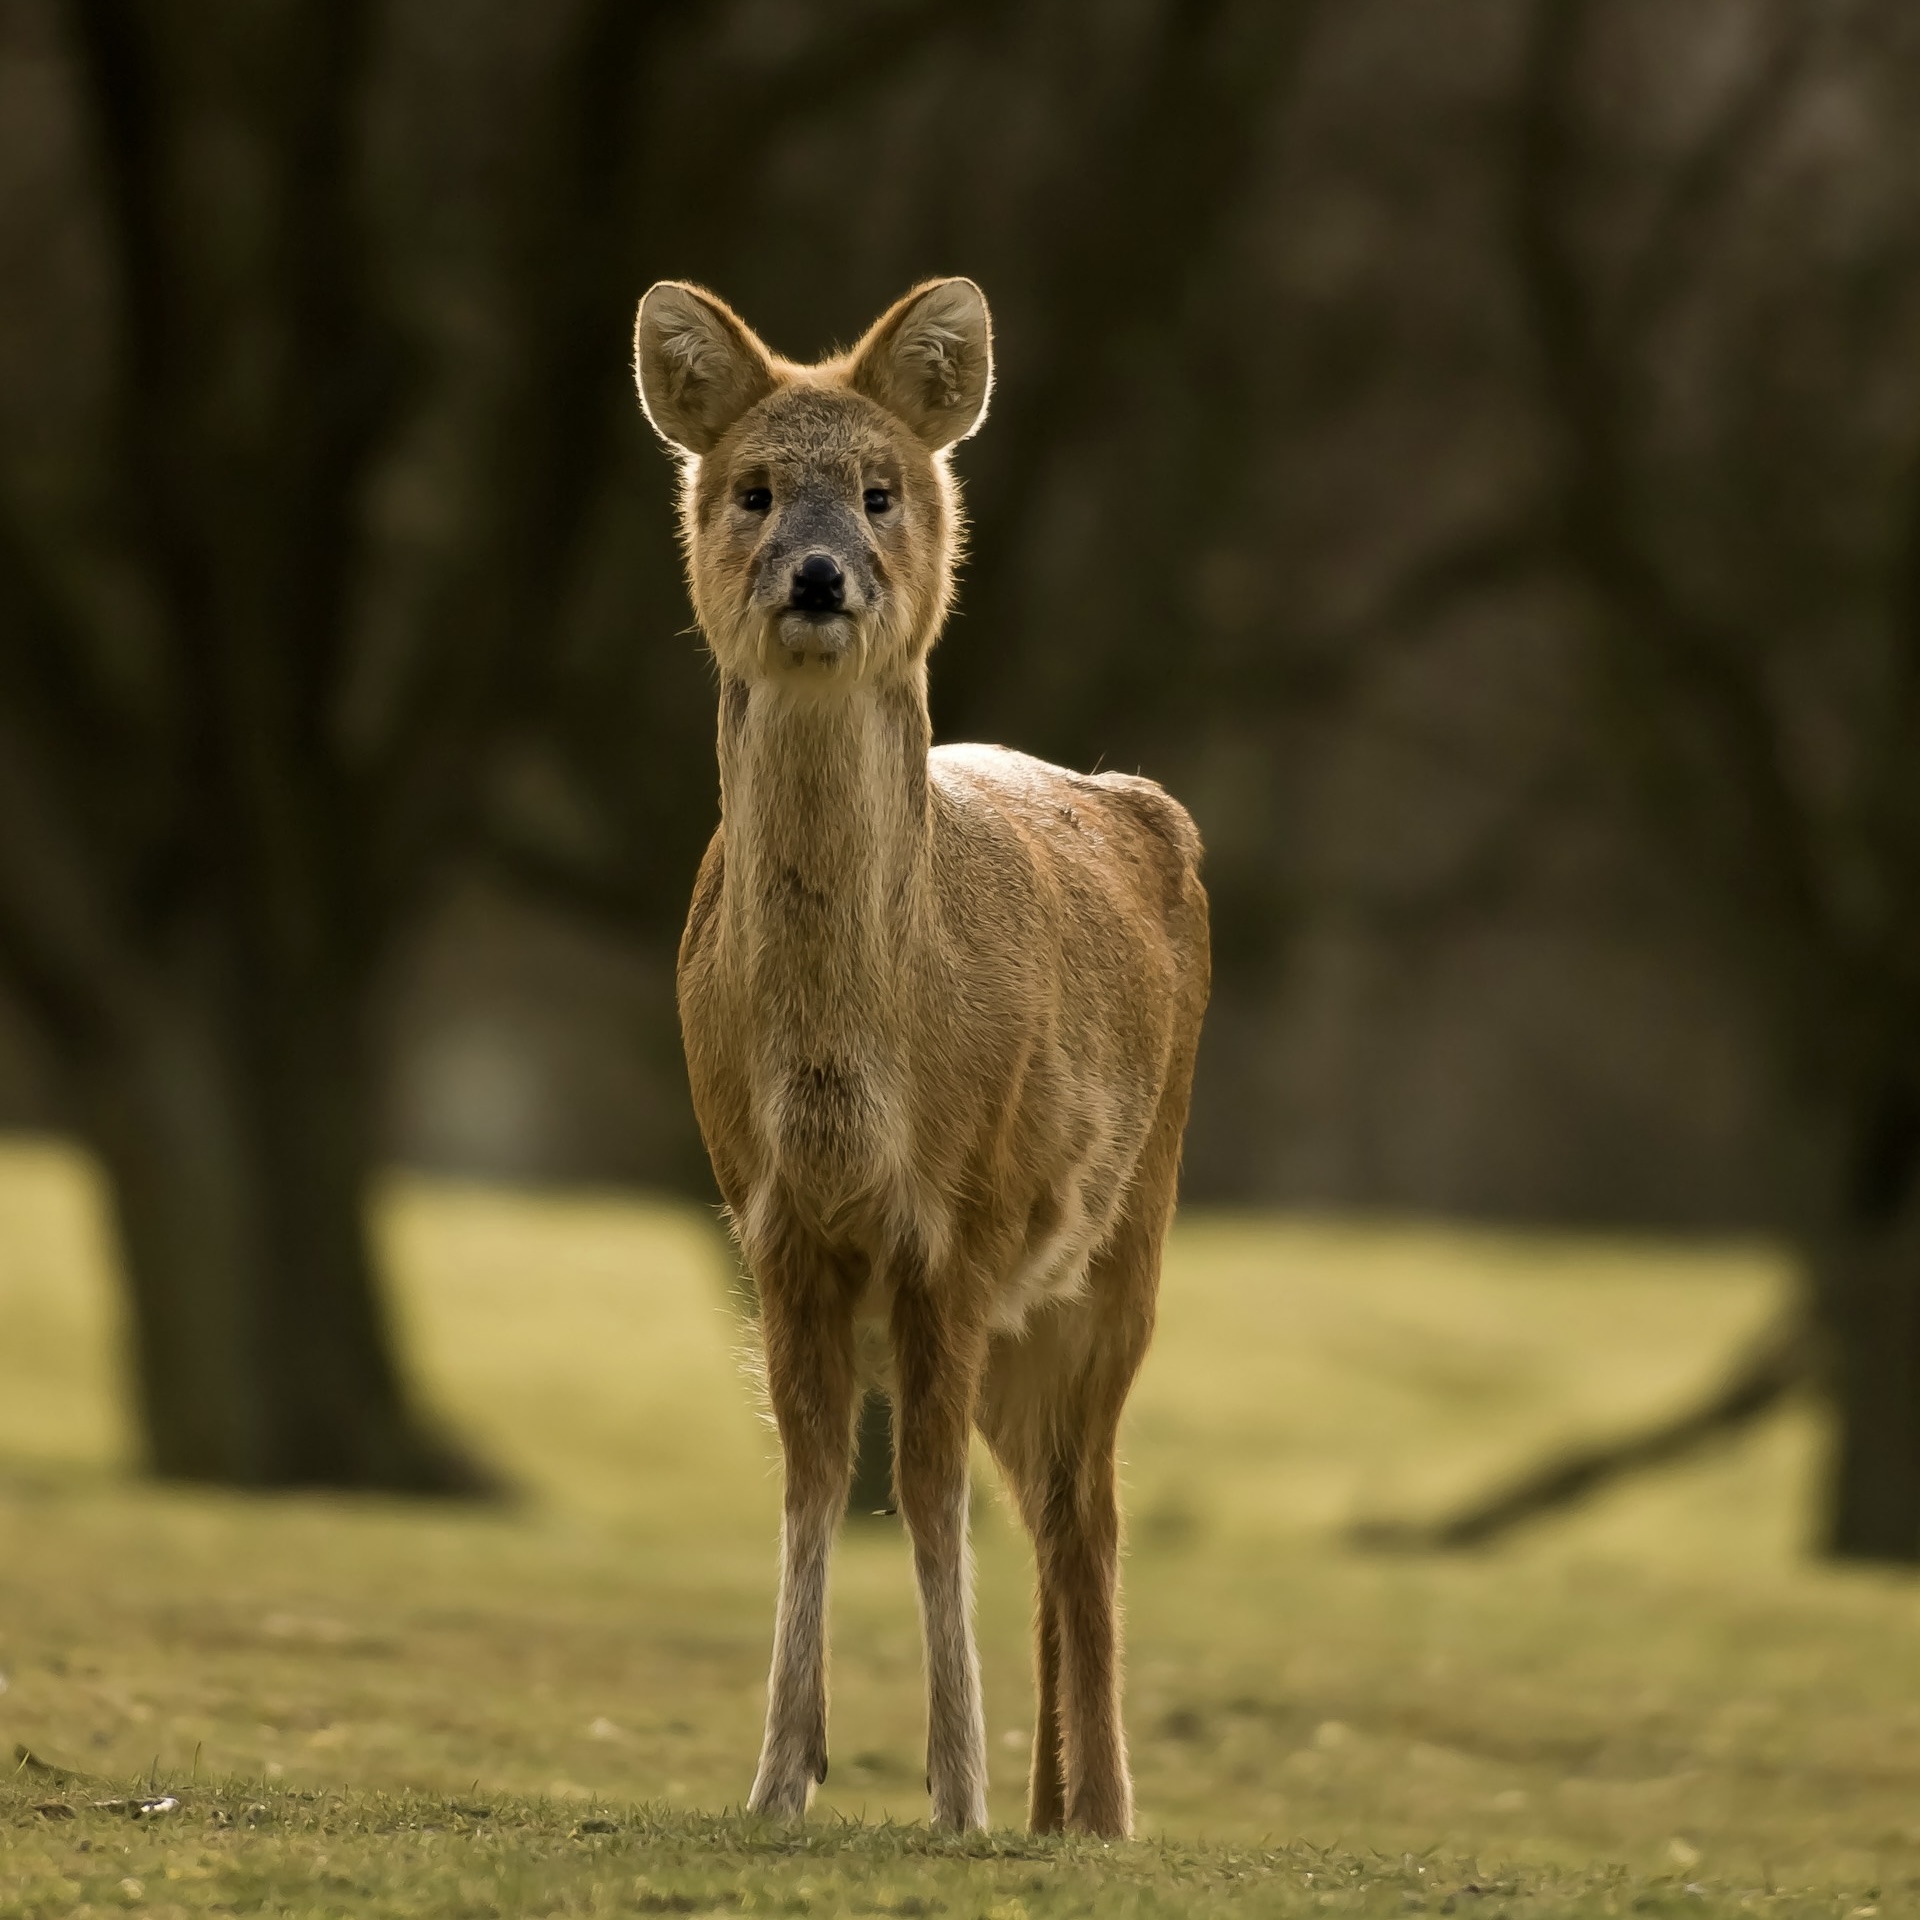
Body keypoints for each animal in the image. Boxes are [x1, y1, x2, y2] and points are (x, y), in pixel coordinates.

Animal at [632, 275, 1210, 1838]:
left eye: (883, 489)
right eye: (756, 490)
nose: (820, 576)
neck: (854, 1072)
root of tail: (1151, 812)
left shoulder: (957, 1211)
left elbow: (928, 1490)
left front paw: (953, 1792)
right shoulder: (768, 1214)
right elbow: (816, 1474)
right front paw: (782, 1777)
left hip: (1125, 1237)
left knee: (1089, 1506)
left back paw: (1102, 1811)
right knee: (1048, 1500)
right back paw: (1058, 1805)